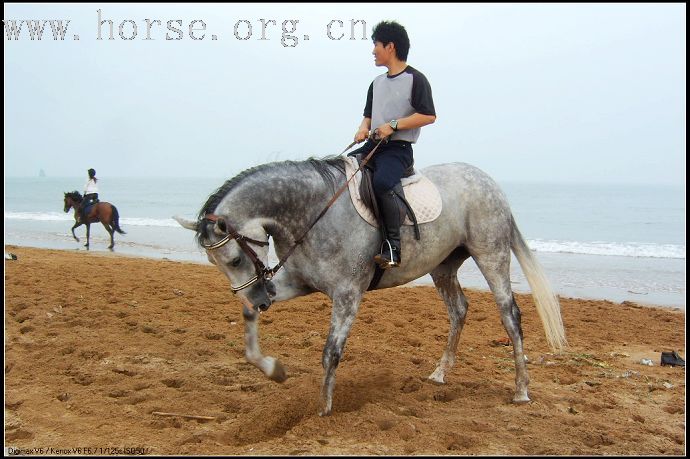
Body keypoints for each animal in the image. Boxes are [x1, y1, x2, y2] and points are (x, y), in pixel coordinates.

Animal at [176, 158, 564, 416]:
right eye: (215, 263)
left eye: (234, 260)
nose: (261, 299)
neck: (313, 212)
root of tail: (489, 181)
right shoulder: (296, 283)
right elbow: (251, 326)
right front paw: (274, 370)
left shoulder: (348, 294)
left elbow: (331, 352)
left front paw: (323, 410)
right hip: (443, 266)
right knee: (459, 310)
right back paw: (440, 374)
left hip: (491, 255)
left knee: (510, 316)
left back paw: (521, 391)